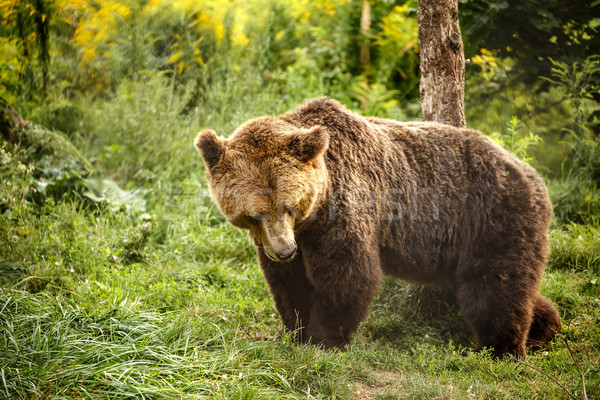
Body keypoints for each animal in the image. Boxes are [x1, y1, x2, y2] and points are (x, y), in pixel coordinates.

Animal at [196, 97, 564, 360]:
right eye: (254, 214)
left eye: (289, 205)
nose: (285, 250)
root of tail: (533, 176)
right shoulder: (288, 238)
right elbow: (289, 283)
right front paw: (294, 331)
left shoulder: (345, 209)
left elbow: (348, 273)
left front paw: (323, 339)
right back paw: (543, 326)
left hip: (493, 219)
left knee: (494, 290)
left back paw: (503, 349)